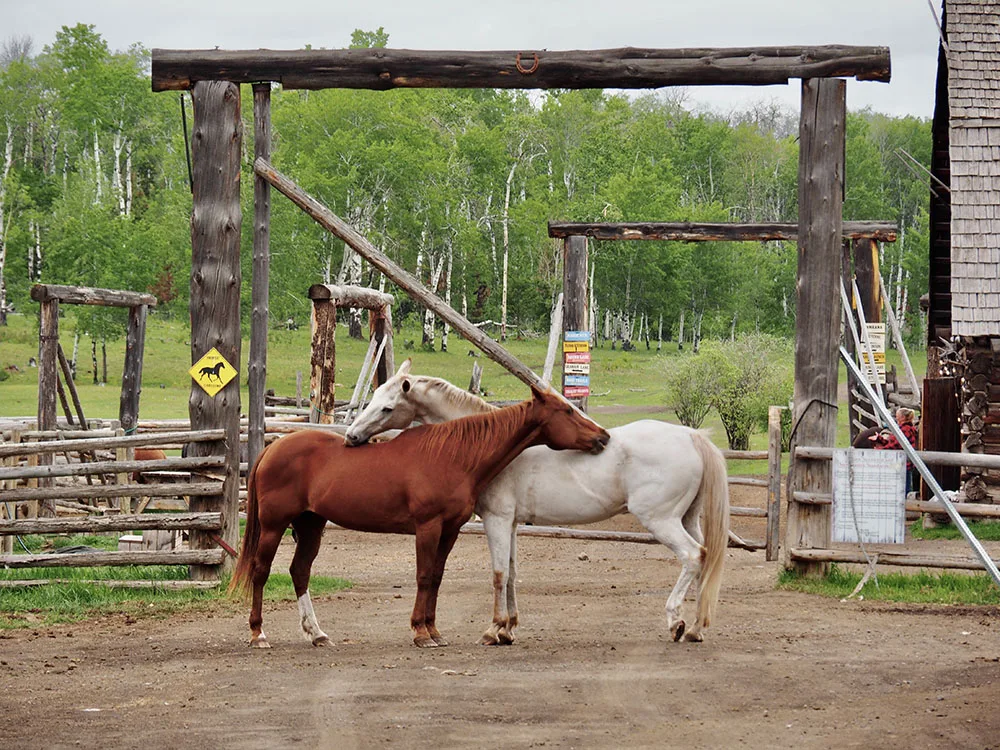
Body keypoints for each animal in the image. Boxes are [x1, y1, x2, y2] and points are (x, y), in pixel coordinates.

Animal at [229, 385, 609, 649]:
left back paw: (317, 634)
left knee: (300, 572)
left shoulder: (450, 530)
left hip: (311, 525)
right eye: (566, 410)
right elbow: (424, 576)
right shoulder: (428, 527)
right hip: (275, 527)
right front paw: (420, 632)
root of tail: (272, 449)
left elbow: (437, 578)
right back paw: (258, 634)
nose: (602, 436)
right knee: (261, 572)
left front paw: (435, 631)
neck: (454, 455)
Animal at [345, 360, 730, 645]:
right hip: (687, 519)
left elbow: (498, 574)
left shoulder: (497, 520)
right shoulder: (512, 523)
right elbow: (513, 573)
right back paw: (696, 627)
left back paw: (675, 622)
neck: (485, 446)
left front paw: (493, 629)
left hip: (661, 521)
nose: (351, 436)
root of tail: (692, 436)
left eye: (386, 407)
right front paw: (509, 628)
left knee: (692, 556)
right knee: (705, 558)